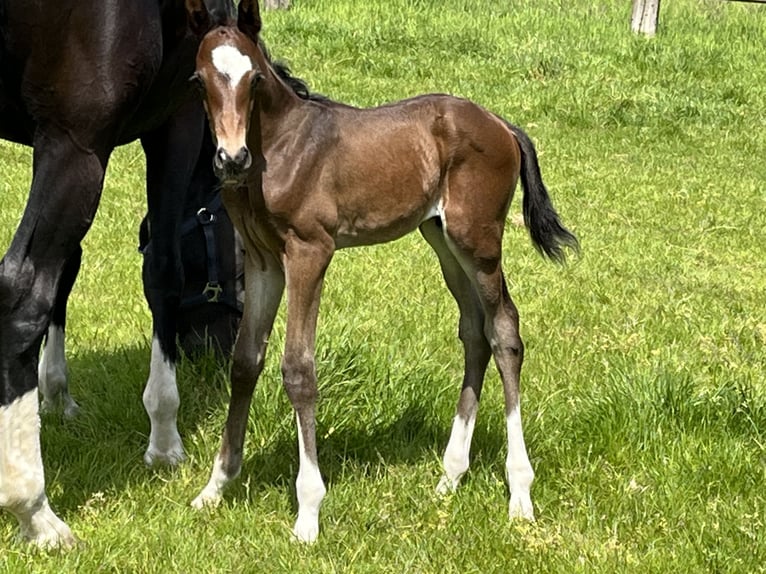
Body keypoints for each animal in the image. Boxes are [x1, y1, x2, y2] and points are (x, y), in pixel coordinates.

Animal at [189, 0, 580, 544]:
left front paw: (307, 512)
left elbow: (298, 369)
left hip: (477, 238)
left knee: (504, 330)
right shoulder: (264, 260)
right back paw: (449, 476)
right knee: (474, 332)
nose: (231, 158)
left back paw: (519, 493)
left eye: (255, 79)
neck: (280, 146)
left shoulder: (309, 252)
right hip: (441, 238)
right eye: (200, 80)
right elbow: (245, 361)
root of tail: (501, 124)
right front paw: (216, 487)